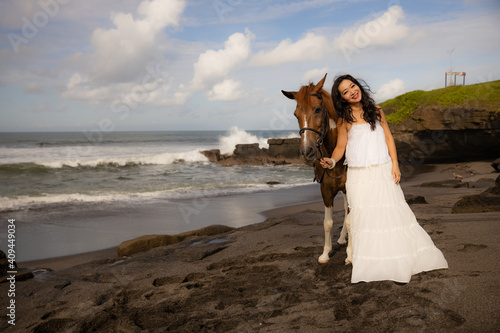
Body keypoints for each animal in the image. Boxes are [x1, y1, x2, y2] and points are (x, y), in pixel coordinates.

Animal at [284, 74, 350, 264]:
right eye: (296, 114)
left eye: (318, 109)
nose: (307, 151)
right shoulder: (326, 190)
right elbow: (327, 223)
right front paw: (325, 253)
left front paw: (351, 255)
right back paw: (342, 238)